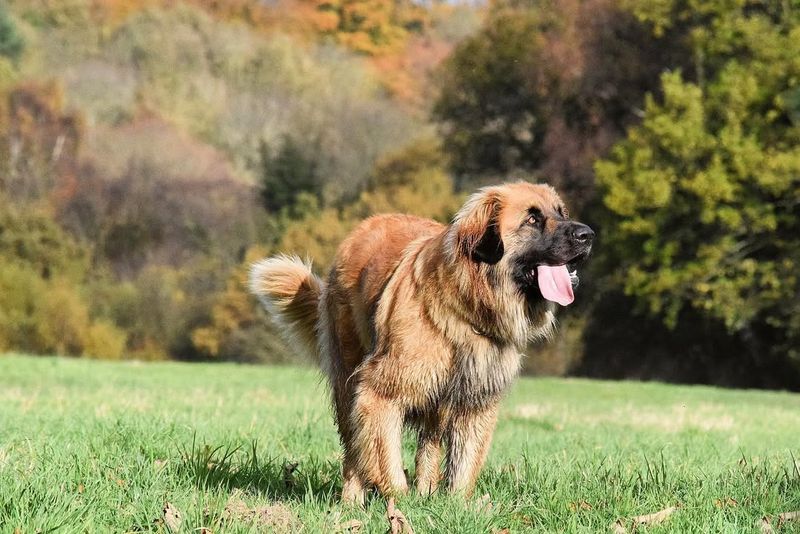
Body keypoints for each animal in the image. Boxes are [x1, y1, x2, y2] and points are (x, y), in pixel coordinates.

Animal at [250, 182, 592, 504]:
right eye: (532, 219)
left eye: (561, 212)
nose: (587, 235)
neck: (467, 304)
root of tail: (363, 227)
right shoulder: (379, 391)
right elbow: (384, 458)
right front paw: (400, 504)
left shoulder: (476, 400)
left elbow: (464, 464)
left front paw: (453, 506)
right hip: (349, 379)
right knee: (353, 449)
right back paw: (352, 500)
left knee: (428, 446)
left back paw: (426, 490)